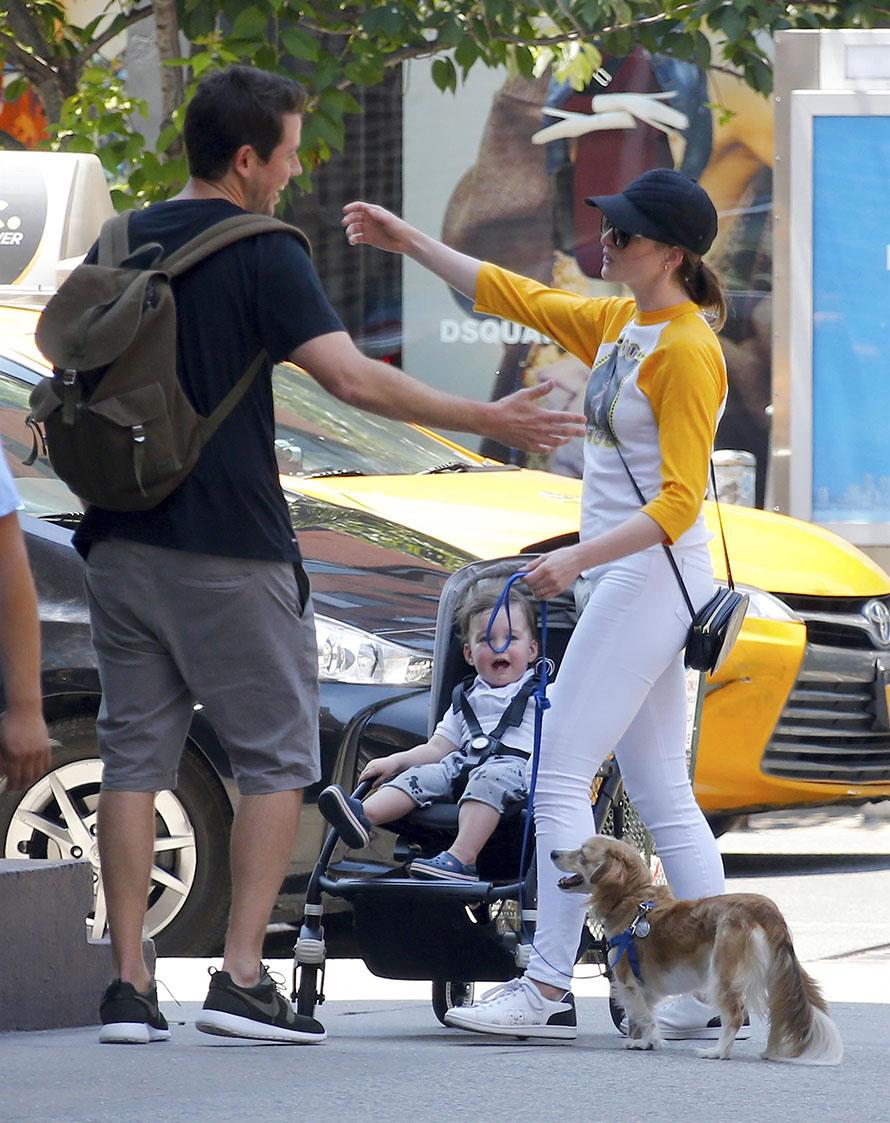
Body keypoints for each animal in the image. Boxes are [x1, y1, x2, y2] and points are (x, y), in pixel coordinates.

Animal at [552, 835, 843, 1060]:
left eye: (581, 853)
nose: (553, 852)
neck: (633, 898)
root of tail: (765, 909)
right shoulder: (646, 988)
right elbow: (644, 1014)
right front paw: (642, 1040)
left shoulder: (628, 982)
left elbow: (642, 1015)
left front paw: (650, 1041)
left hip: (722, 971)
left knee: (735, 1015)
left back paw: (718, 1052)